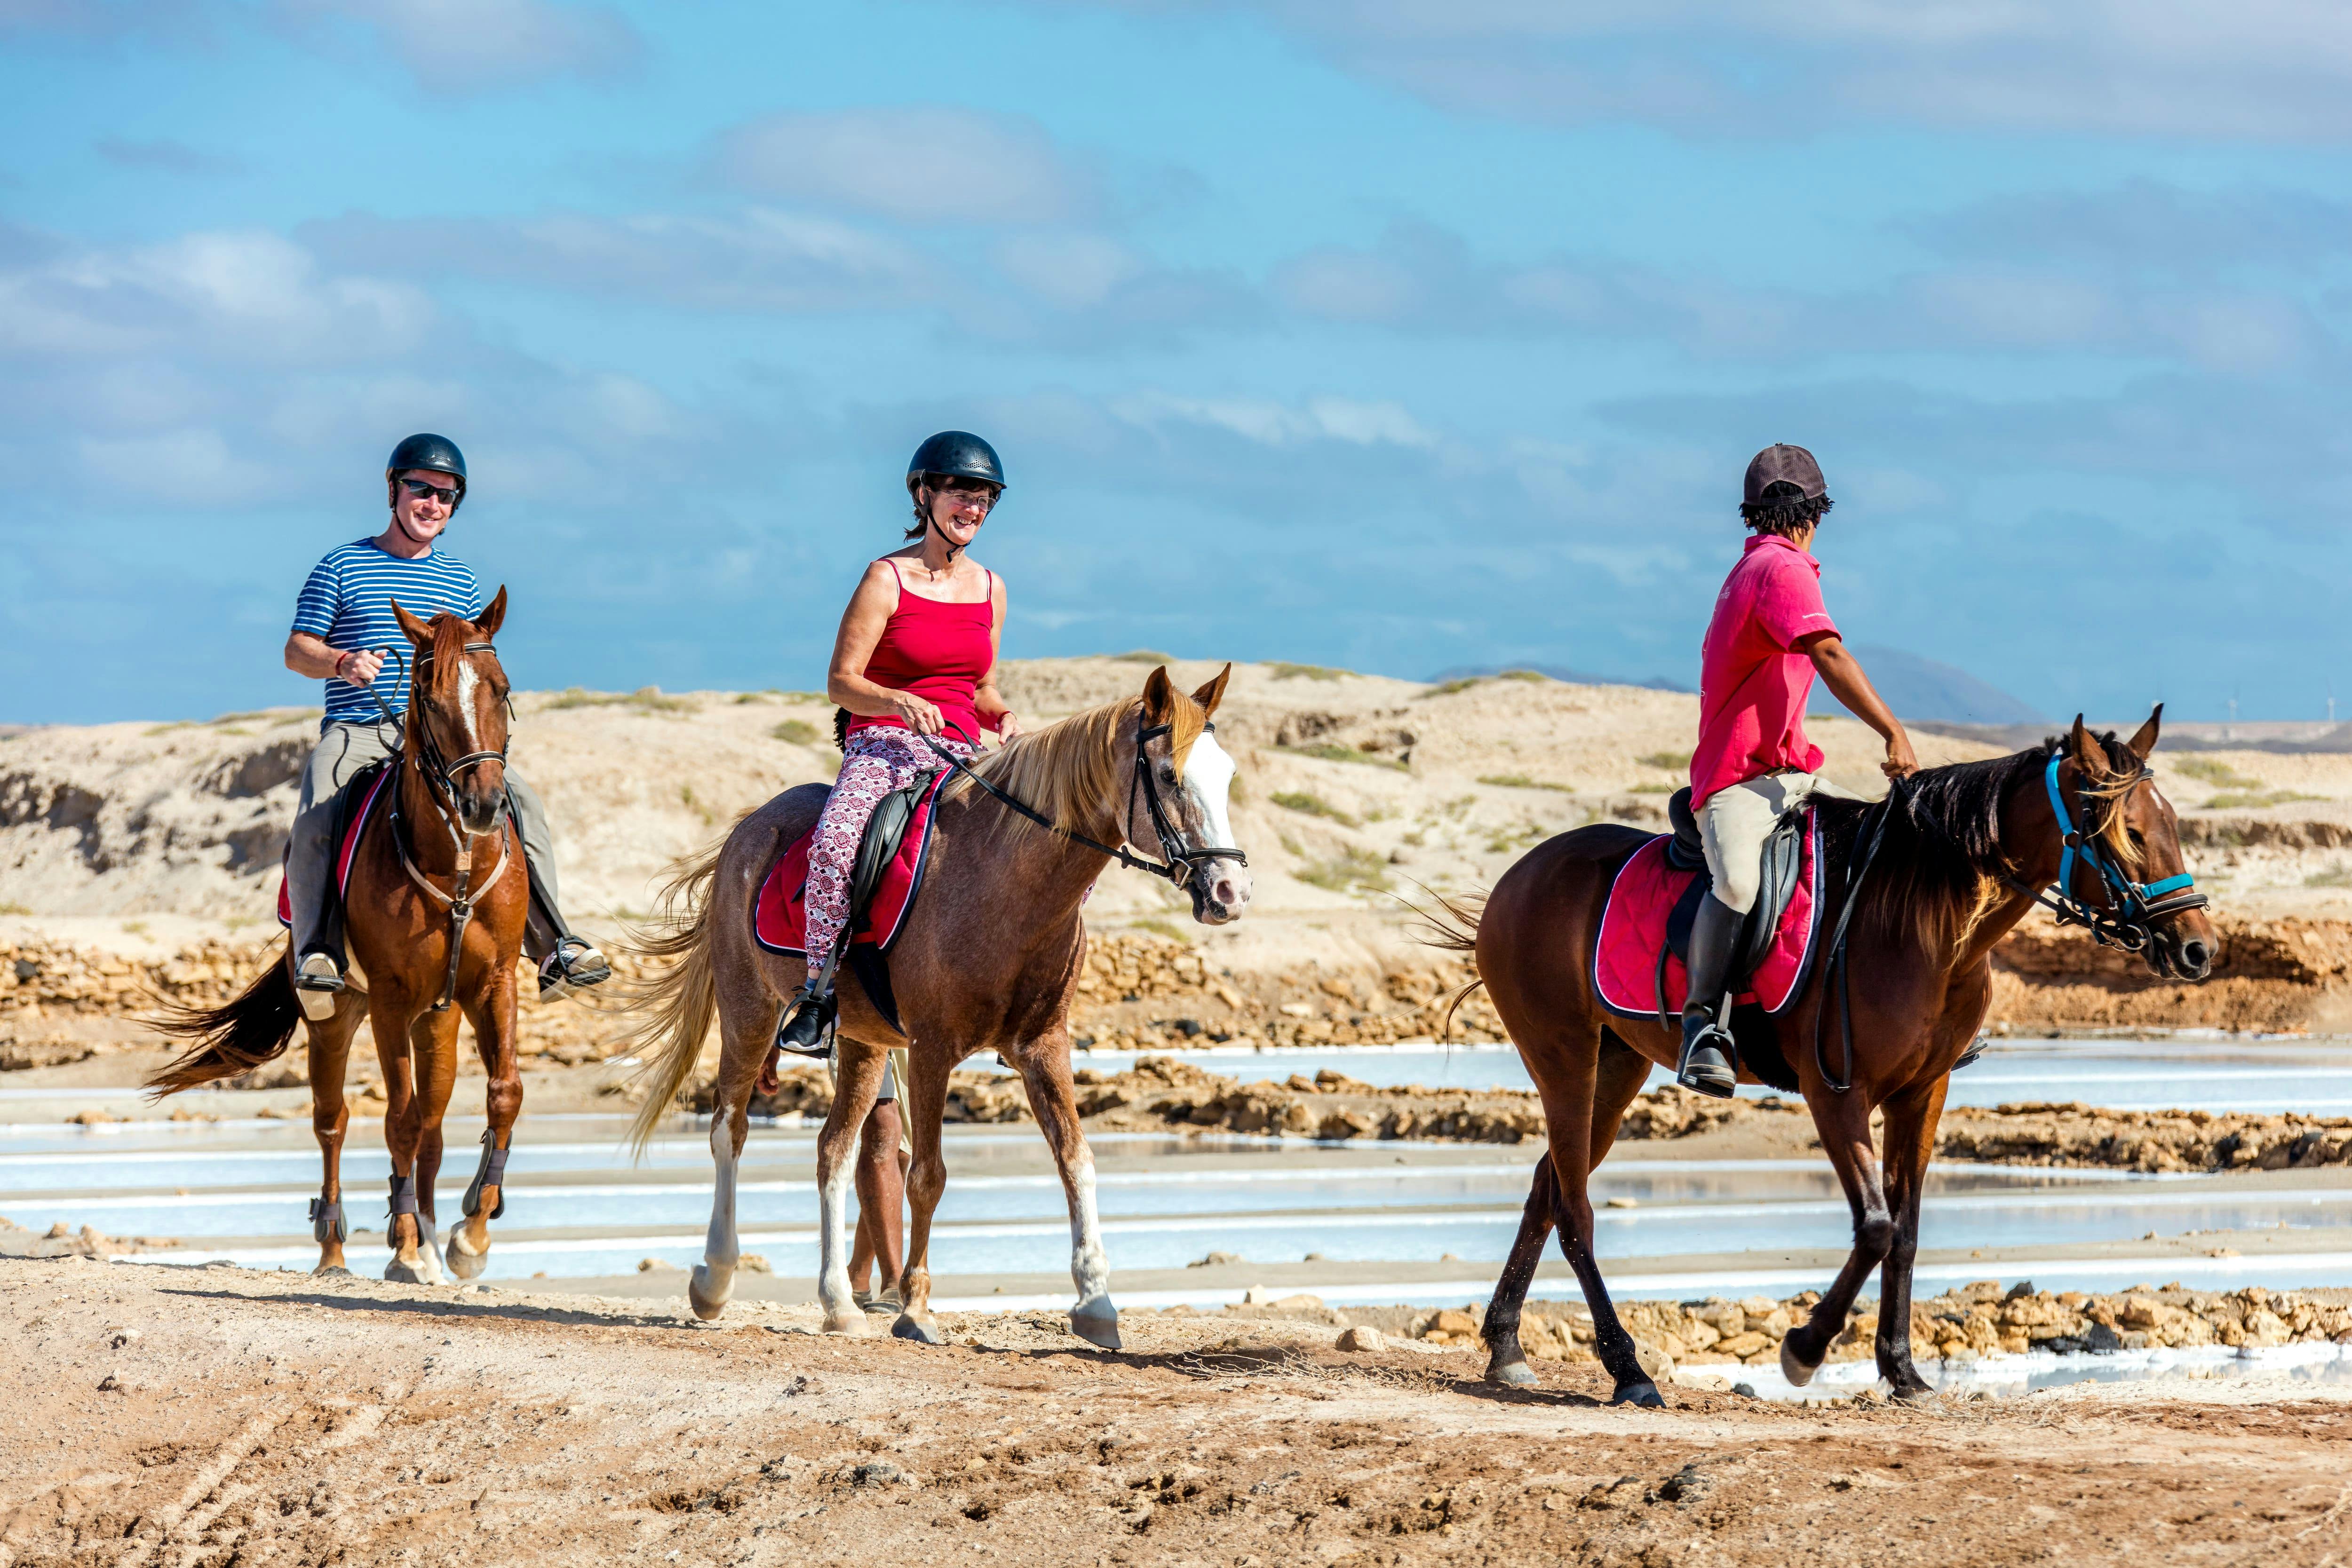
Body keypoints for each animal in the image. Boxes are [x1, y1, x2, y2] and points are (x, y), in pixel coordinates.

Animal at [148, 593, 531, 1285]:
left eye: (502, 689)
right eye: (428, 696)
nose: (484, 805)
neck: (453, 866)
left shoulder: (493, 984)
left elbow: (502, 1095)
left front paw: (470, 1234)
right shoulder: (389, 1000)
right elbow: (396, 1121)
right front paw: (405, 1246)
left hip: (438, 1020)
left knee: (433, 1123)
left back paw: (428, 1236)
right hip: (336, 1018)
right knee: (335, 1123)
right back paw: (338, 1250)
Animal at [616, 665, 1250, 1348]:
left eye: (1227, 774)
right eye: (1168, 775)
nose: (1230, 892)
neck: (1008, 882)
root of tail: (748, 826)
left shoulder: (1043, 1044)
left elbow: (1076, 1161)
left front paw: (1096, 1301)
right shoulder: (931, 1048)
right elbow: (927, 1175)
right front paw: (916, 1307)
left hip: (863, 1043)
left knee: (834, 1150)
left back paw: (838, 1302)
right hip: (749, 1013)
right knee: (728, 1130)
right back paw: (715, 1279)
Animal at [1434, 711, 2215, 1406]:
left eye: (2172, 824)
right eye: (2128, 831)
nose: (2198, 949)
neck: (1925, 922)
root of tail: (1518, 876)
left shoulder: (1922, 1092)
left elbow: (1905, 1230)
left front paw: (1903, 1371)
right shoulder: (1836, 1092)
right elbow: (1874, 1224)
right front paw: (1805, 1349)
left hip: (1617, 1065)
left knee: (1548, 1186)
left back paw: (1507, 1346)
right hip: (1564, 1057)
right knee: (1575, 1210)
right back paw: (1627, 1368)